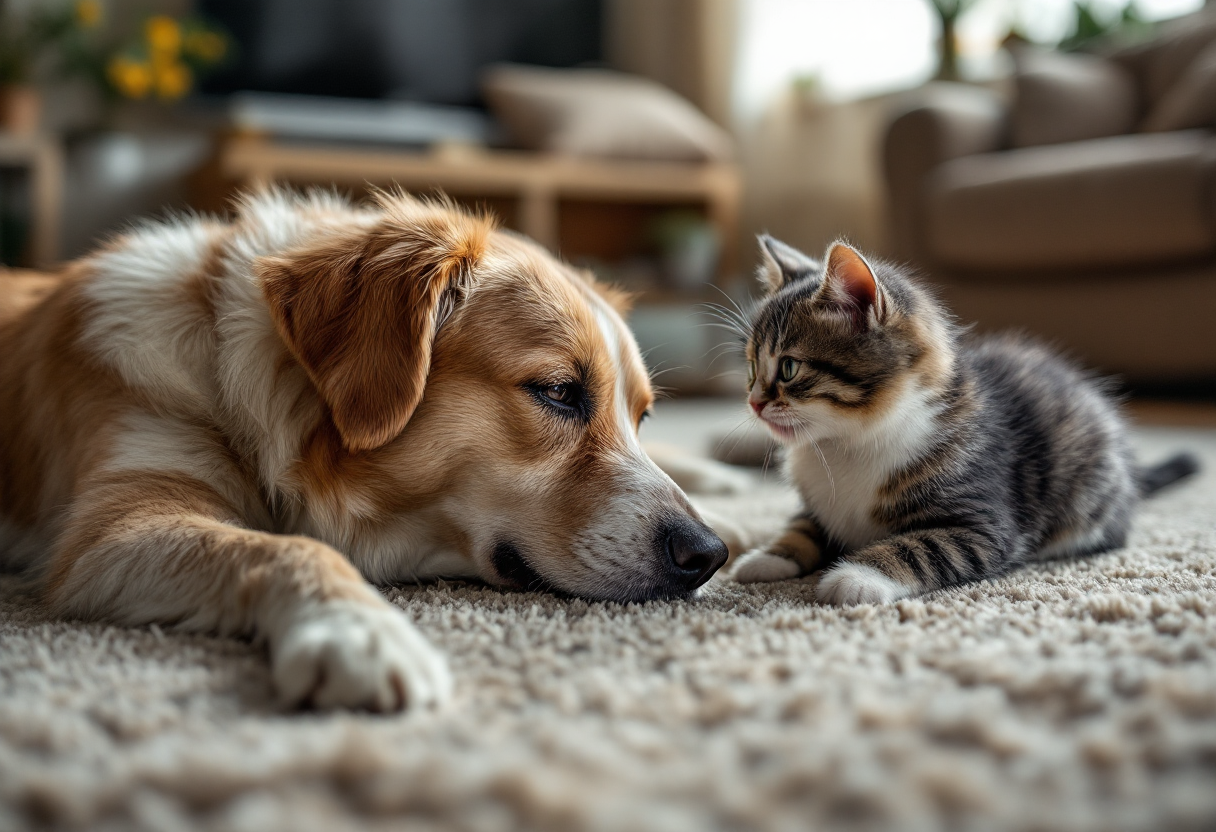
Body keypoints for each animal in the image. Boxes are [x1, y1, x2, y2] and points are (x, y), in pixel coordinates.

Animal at [0, 192, 724, 710]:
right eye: (558, 391)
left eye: (642, 416)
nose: (706, 555)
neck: (230, 387)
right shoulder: (112, 531)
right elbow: (288, 546)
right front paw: (360, 631)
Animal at [729, 233, 1196, 603]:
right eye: (751, 367)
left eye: (789, 368)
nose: (752, 401)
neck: (847, 442)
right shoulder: (819, 503)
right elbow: (803, 525)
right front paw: (770, 556)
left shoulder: (983, 524)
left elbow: (921, 548)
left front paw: (856, 577)